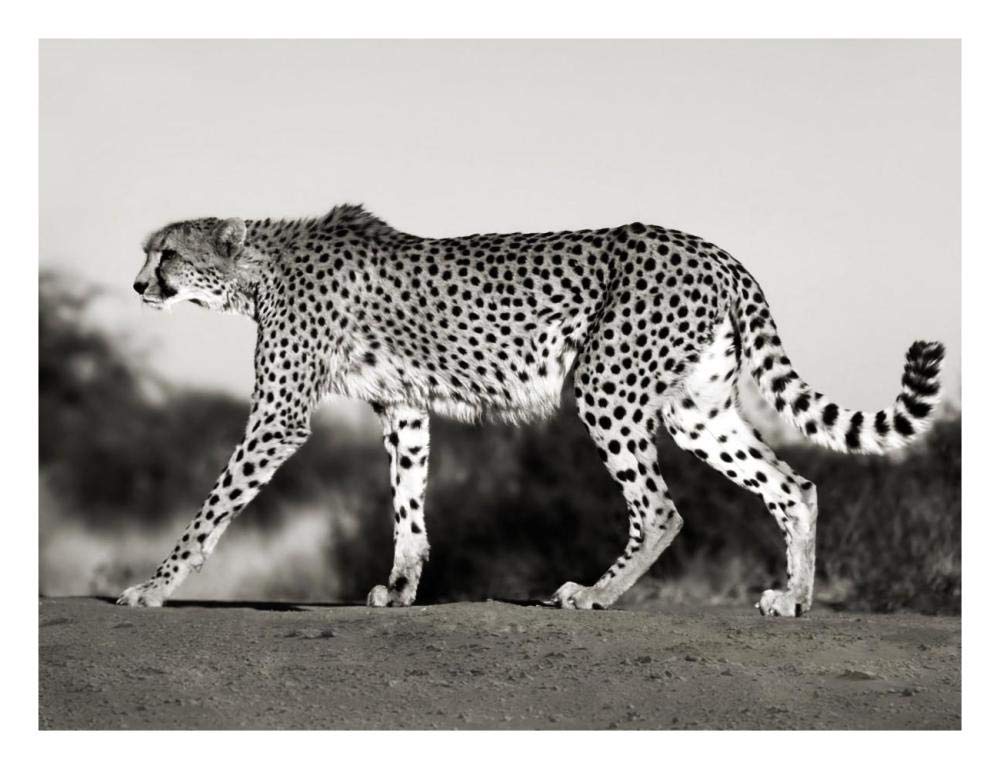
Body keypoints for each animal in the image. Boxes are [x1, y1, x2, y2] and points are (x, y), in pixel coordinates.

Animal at [118, 204, 945, 616]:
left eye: (167, 254)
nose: (137, 285)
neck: (259, 267)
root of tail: (713, 249)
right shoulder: (404, 406)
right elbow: (407, 503)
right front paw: (401, 588)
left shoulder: (281, 414)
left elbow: (212, 508)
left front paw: (154, 586)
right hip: (696, 410)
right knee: (794, 484)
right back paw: (793, 598)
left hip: (606, 385)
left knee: (661, 506)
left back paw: (595, 592)